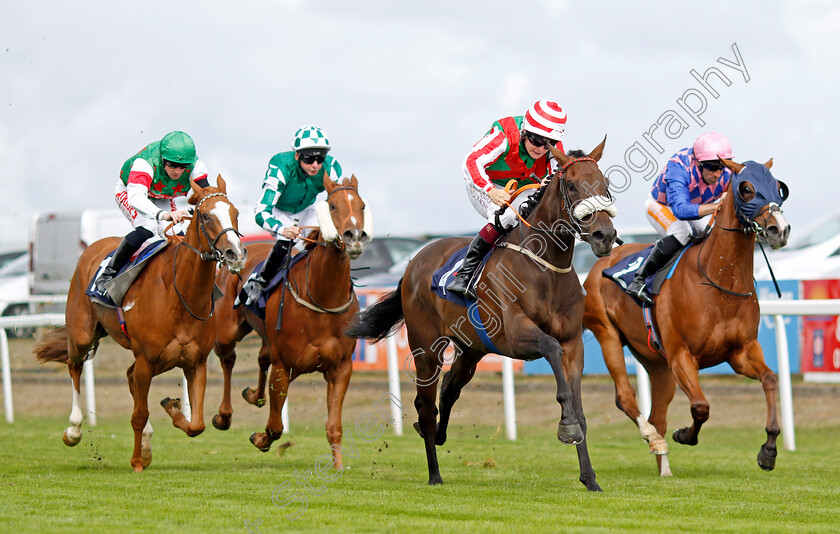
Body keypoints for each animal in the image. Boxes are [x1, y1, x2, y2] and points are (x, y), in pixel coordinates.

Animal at [36, 179, 246, 474]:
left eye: (235, 213)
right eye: (205, 216)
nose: (235, 253)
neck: (180, 293)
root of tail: (92, 247)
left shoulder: (196, 362)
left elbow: (196, 424)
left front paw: (171, 412)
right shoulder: (147, 359)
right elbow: (139, 413)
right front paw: (136, 460)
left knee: (128, 375)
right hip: (82, 334)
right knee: (75, 366)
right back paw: (74, 429)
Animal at [212, 176, 370, 468]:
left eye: (362, 205)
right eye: (332, 205)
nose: (354, 237)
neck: (323, 298)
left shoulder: (341, 367)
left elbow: (334, 425)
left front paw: (339, 466)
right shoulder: (284, 366)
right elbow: (275, 426)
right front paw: (260, 439)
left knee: (261, 357)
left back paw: (253, 395)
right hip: (227, 332)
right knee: (228, 359)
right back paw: (223, 415)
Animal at [348, 140, 616, 492]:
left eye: (605, 184)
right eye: (571, 185)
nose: (604, 235)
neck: (544, 267)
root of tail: (413, 262)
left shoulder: (573, 343)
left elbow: (578, 404)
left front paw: (590, 478)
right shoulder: (516, 335)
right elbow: (551, 350)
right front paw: (567, 425)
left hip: (471, 349)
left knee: (450, 387)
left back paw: (440, 435)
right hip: (426, 348)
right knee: (426, 405)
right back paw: (434, 473)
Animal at [584, 158, 788, 478]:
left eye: (779, 187)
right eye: (746, 189)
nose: (780, 229)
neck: (720, 280)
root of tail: (604, 259)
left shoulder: (741, 352)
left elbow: (769, 379)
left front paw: (768, 451)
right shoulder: (682, 355)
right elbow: (701, 406)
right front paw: (685, 435)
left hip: (658, 364)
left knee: (658, 415)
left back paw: (663, 465)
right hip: (607, 334)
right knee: (626, 397)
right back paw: (655, 441)